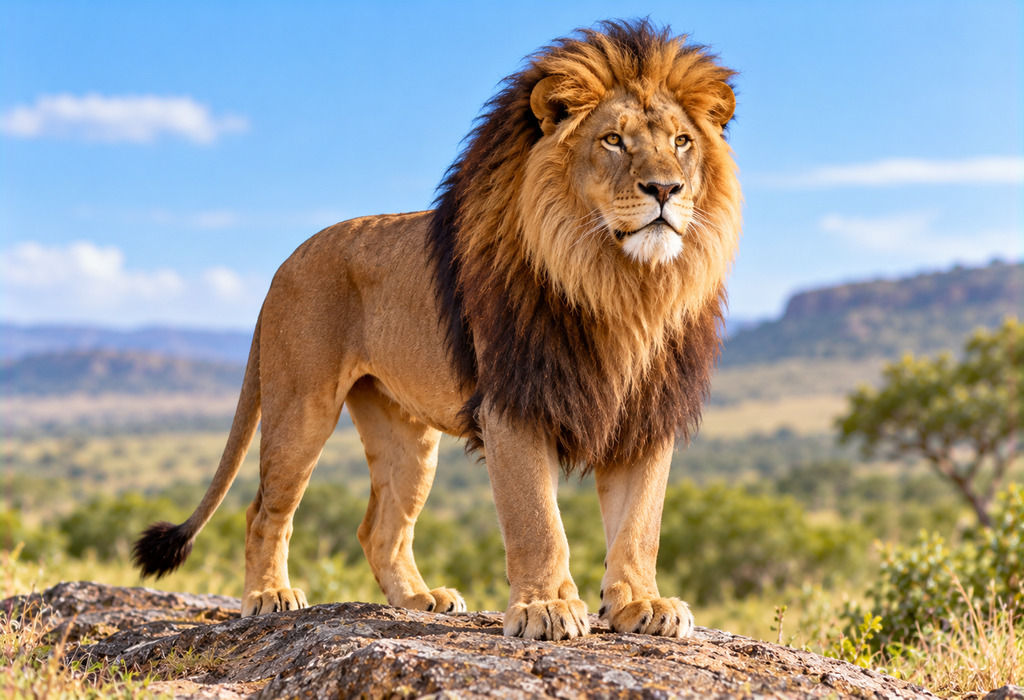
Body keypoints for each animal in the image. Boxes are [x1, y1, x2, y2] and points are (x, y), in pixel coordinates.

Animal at [133, 20, 741, 641]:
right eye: (613, 140)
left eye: (682, 143)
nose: (664, 189)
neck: (620, 285)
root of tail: (284, 264)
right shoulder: (512, 403)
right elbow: (537, 520)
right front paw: (545, 607)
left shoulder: (647, 411)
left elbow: (641, 523)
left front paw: (641, 603)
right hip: (301, 405)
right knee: (265, 511)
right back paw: (269, 596)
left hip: (407, 436)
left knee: (378, 528)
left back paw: (419, 599)